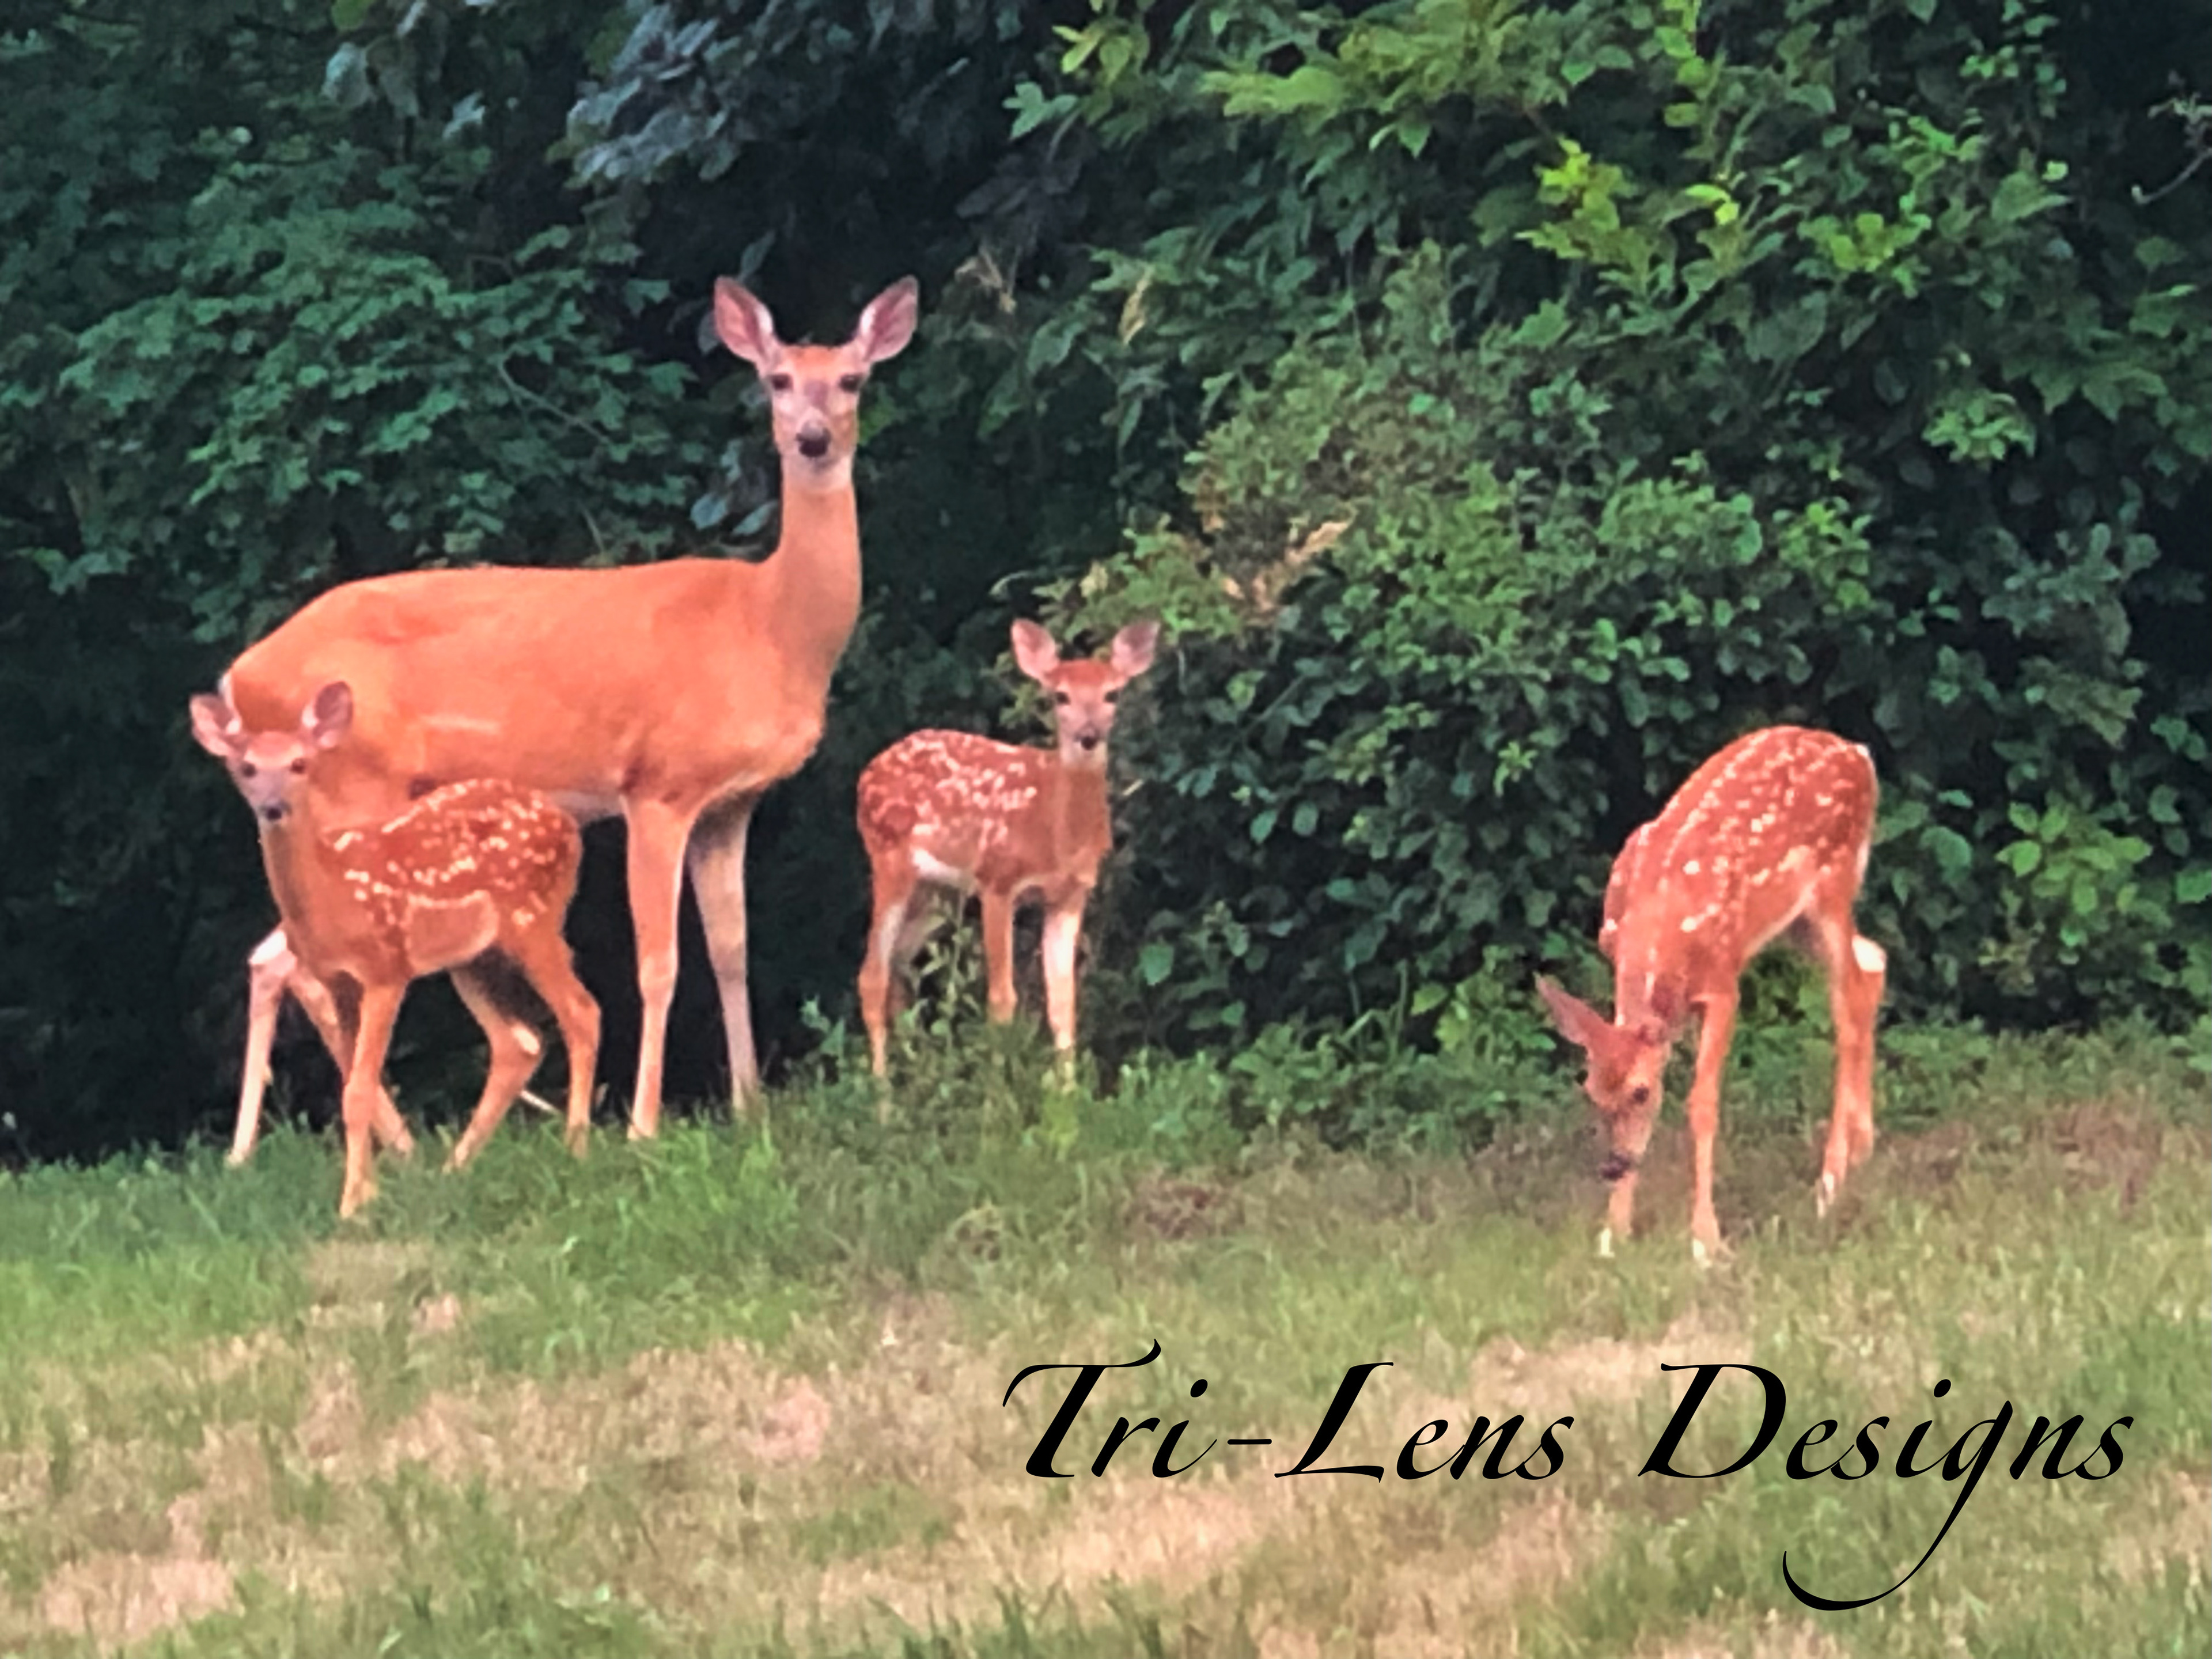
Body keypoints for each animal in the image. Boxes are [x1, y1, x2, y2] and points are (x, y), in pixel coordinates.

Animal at [192, 682, 600, 1218]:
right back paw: (454, 1169)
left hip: (534, 920)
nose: (274, 807)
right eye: (248, 769)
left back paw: (577, 1149)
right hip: (473, 958)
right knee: (519, 1042)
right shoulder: (337, 980)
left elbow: (359, 1091)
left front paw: (352, 1206)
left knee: (581, 1012)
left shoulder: (387, 968)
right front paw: (368, 1193)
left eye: (300, 764)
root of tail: (568, 826)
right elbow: (351, 1084)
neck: (333, 898)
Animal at [213, 275, 918, 1141]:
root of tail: (237, 676)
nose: (814, 439)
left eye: (851, 380)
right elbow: (660, 963)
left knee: (275, 957)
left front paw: (750, 1107)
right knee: (287, 956)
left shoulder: (731, 804)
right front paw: (645, 1125)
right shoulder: (658, 785)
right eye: (778, 381)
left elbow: (731, 951)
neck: (768, 625)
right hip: (351, 788)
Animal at [856, 619, 1159, 1082]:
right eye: (1060, 696)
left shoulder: (1070, 896)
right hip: (889, 859)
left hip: (938, 890)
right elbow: (1002, 999)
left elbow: (1063, 1001)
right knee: (871, 974)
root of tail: (866, 774)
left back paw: (919, 1070)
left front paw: (1067, 1094)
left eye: (1112, 694)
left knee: (898, 964)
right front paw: (997, 1093)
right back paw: (883, 1093)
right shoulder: (998, 881)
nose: (1088, 737)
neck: (1055, 834)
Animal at [1537, 725, 1887, 1263]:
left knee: (1846, 1005)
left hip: (1833, 884)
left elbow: (1702, 1105)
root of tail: (1859, 755)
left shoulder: (1724, 984)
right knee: (1872, 966)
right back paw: (1863, 1150)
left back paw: (1828, 1185)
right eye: (1591, 1091)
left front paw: (1706, 1242)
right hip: (1797, 922)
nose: (1613, 1166)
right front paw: (1613, 1234)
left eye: (1640, 1092)